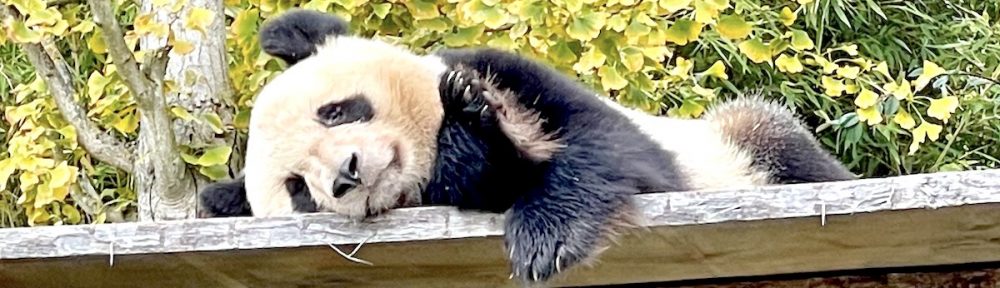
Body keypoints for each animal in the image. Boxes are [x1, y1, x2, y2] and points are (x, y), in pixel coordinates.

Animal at [199, 8, 856, 284]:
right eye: (298, 191)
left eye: (336, 110)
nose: (347, 174)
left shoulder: (510, 76)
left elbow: (613, 151)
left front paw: (545, 236)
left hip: (732, 143)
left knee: (775, 138)